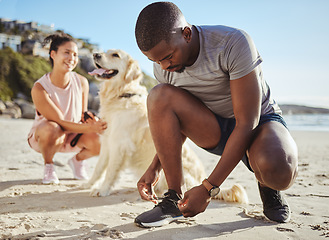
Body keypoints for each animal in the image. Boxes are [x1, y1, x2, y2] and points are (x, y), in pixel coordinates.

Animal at [86, 48, 247, 204]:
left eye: (115, 55)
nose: (95, 54)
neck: (121, 94)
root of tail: (204, 181)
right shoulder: (107, 141)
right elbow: (99, 168)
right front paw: (88, 184)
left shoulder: (119, 144)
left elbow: (110, 171)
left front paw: (103, 189)